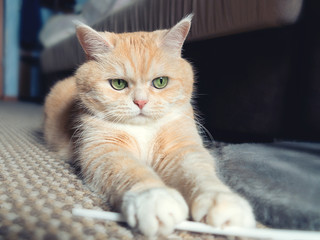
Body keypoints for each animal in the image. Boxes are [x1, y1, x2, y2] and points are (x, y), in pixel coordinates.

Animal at [44, 15, 255, 238]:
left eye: (160, 82)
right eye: (118, 84)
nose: (141, 102)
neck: (143, 130)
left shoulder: (181, 148)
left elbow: (198, 173)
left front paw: (222, 201)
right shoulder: (105, 150)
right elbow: (133, 171)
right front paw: (155, 199)